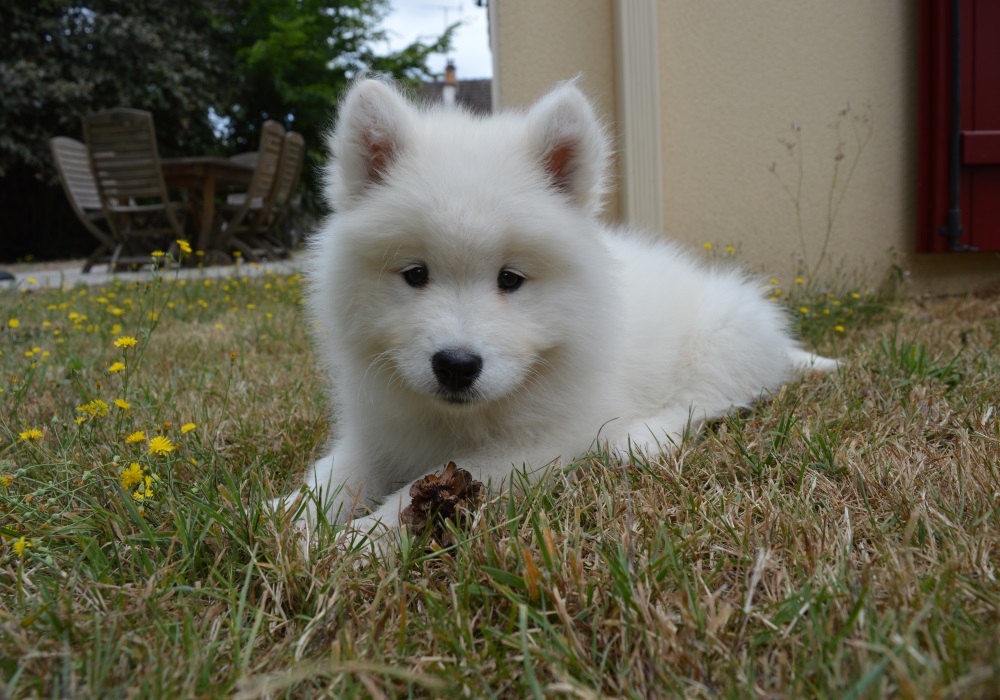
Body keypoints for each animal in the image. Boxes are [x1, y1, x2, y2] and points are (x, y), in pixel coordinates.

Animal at [284, 79, 836, 540]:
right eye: (415, 274)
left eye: (510, 279)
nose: (456, 366)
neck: (457, 420)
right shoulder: (374, 434)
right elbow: (327, 477)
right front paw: (281, 523)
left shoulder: (536, 448)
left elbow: (408, 498)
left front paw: (356, 542)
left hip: (722, 341)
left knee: (709, 400)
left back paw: (641, 437)